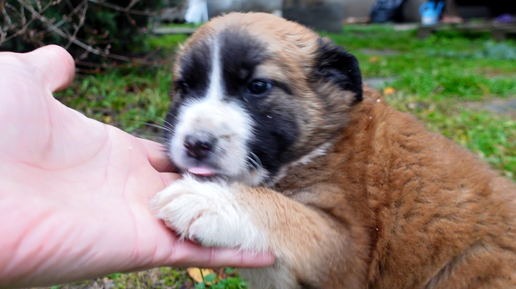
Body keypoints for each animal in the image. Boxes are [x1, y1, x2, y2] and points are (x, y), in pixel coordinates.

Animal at [151, 12, 516, 288]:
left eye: (258, 87)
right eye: (184, 87)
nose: (196, 144)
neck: (321, 143)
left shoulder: (347, 249)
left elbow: (286, 213)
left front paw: (208, 200)